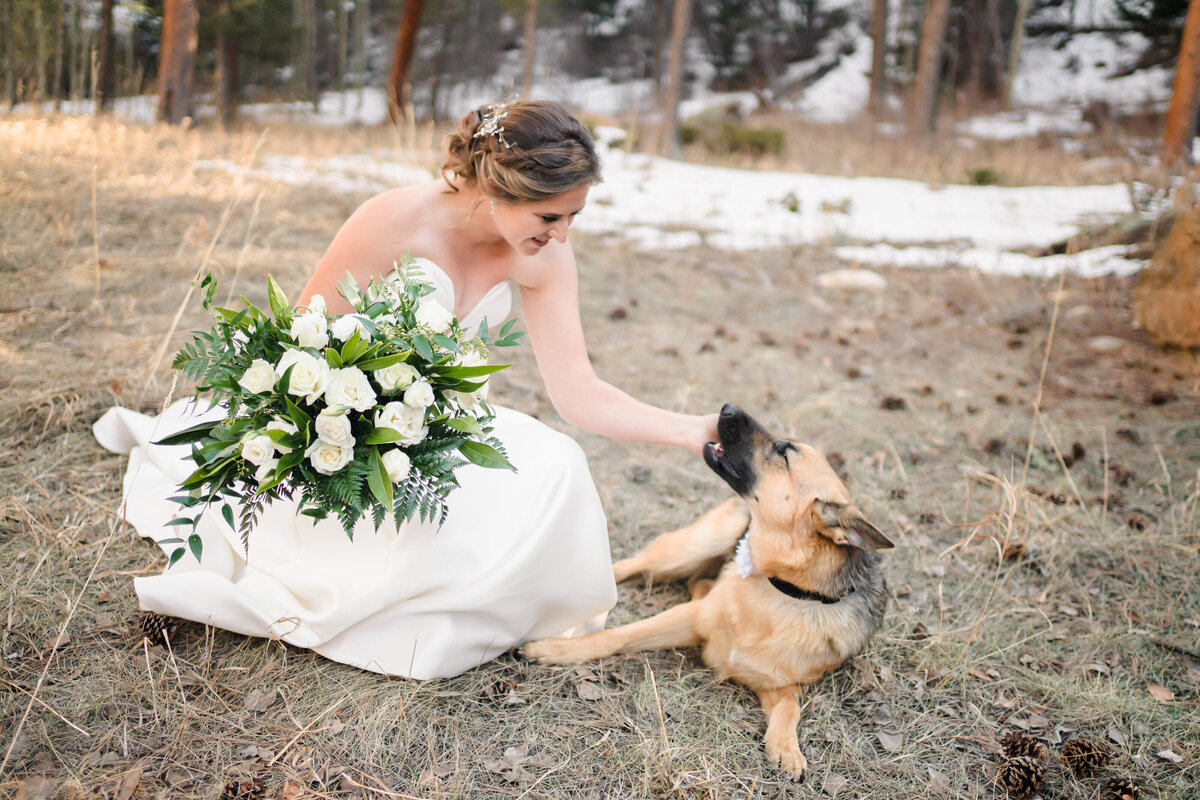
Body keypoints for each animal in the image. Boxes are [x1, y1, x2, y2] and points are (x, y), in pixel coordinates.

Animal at [525, 402, 892, 777]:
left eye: (784, 452)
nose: (728, 407)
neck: (784, 590)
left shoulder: (780, 686)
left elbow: (791, 708)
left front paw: (787, 748)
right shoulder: (687, 618)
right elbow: (616, 635)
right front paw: (556, 649)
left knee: (695, 581)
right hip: (693, 546)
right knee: (631, 566)